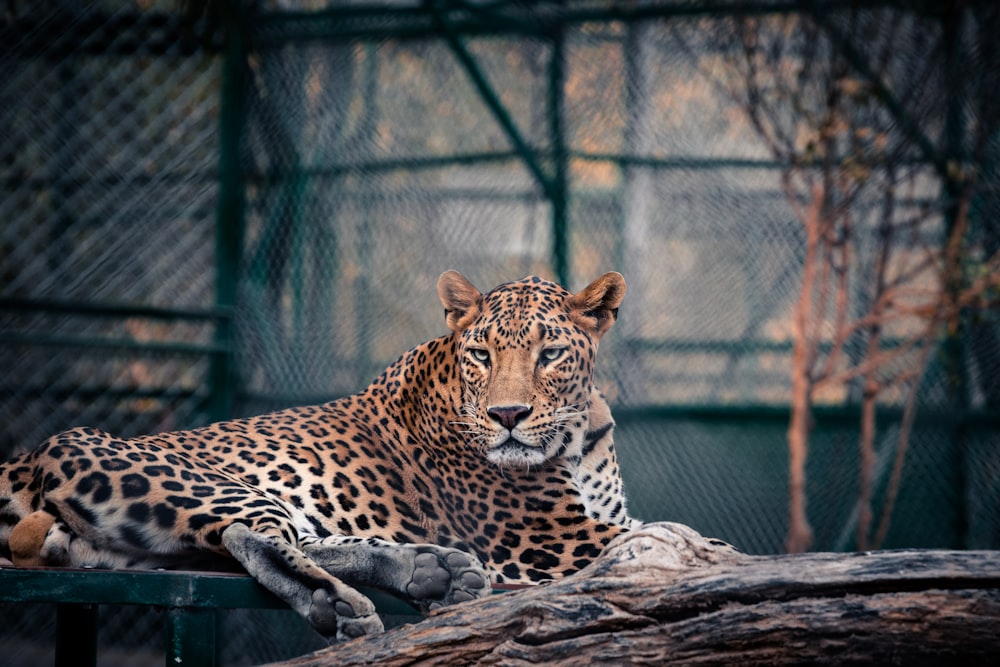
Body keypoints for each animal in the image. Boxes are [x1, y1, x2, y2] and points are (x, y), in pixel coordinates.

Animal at [0, 270, 636, 640]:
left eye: (550, 354)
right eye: (481, 354)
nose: (507, 416)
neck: (578, 438)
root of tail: (28, 458)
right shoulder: (551, 540)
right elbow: (661, 535)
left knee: (263, 543)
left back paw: (431, 569)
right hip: (206, 483)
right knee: (249, 538)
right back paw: (343, 600)